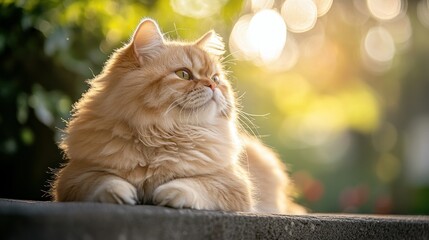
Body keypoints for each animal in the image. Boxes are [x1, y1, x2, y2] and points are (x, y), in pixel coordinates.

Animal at [51, 18, 306, 214]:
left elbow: (194, 185)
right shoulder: (75, 176)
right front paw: (122, 193)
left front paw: (169, 193)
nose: (212, 86)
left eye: (215, 78)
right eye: (184, 74)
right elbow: (104, 182)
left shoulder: (232, 185)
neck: (163, 133)